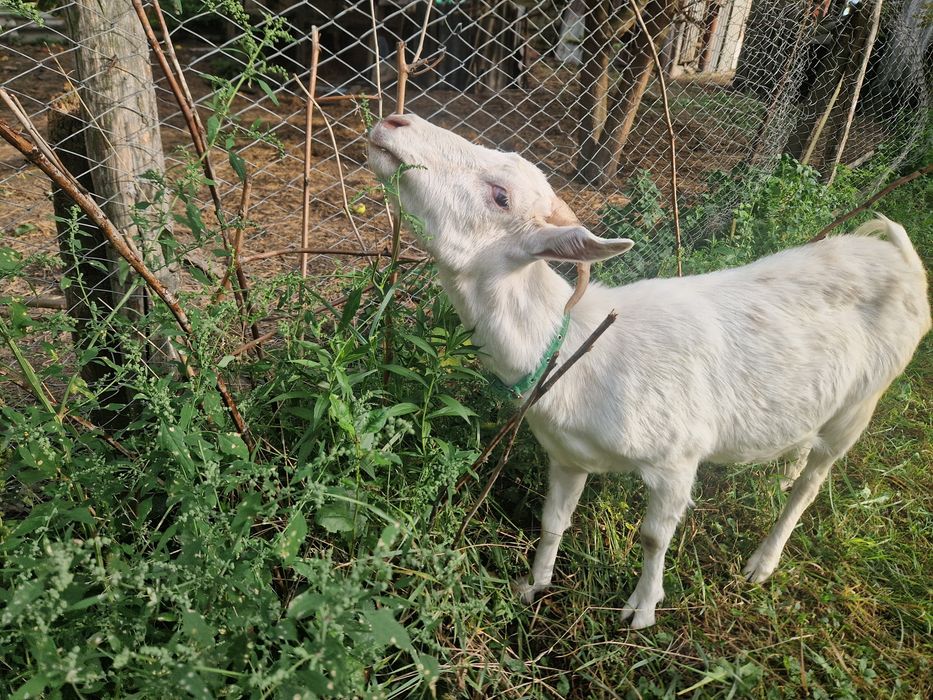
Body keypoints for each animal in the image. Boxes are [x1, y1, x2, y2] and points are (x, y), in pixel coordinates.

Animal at [367, 113, 930, 629]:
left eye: (500, 196)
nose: (395, 120)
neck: (579, 347)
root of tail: (902, 260)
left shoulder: (676, 460)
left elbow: (654, 536)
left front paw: (641, 609)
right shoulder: (568, 456)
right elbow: (553, 521)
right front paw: (534, 585)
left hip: (862, 403)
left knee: (812, 484)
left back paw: (761, 563)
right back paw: (784, 469)